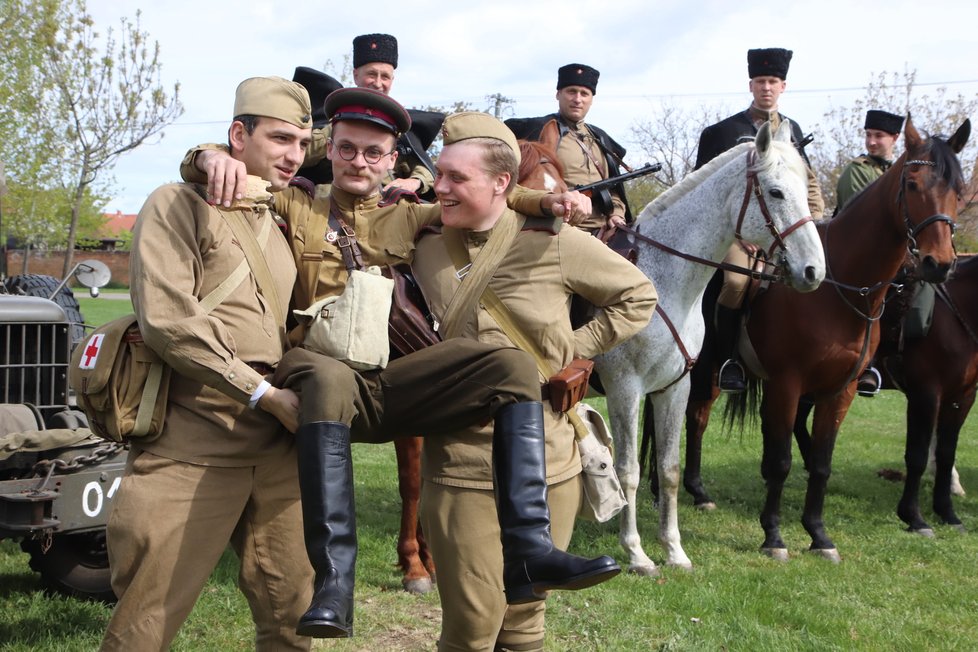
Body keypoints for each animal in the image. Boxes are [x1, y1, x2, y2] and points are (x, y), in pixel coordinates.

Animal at [596, 119, 824, 572]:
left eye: (806, 186)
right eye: (775, 192)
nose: (814, 270)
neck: (659, 281)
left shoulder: (674, 387)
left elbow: (668, 467)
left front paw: (673, 549)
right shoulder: (624, 389)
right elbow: (627, 469)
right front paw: (636, 553)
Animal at [676, 118, 964, 560]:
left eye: (960, 190)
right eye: (913, 184)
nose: (939, 264)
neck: (838, 290)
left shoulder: (840, 390)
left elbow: (822, 463)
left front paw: (818, 534)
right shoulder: (788, 383)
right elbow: (781, 461)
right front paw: (774, 536)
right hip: (707, 368)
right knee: (697, 418)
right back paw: (694, 490)